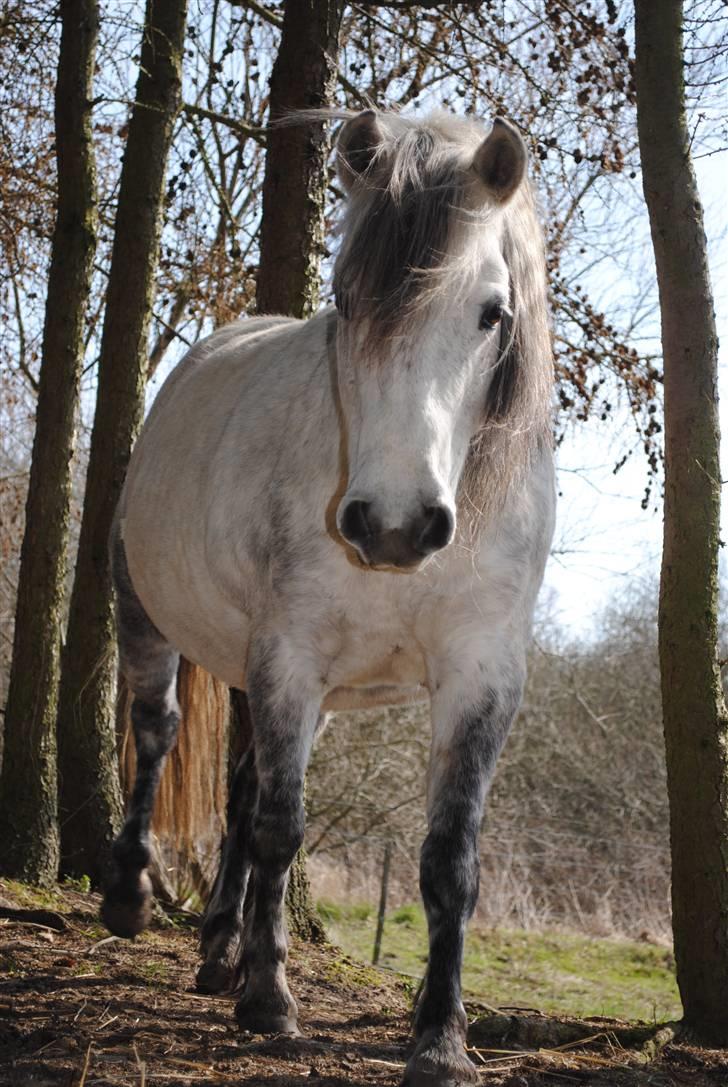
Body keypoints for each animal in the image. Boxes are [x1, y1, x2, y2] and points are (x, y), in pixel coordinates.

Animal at [102, 112, 556, 1087]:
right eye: (346, 301)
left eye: (491, 312)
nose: (393, 524)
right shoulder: (291, 654)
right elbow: (284, 826)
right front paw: (270, 999)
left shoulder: (480, 677)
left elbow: (448, 860)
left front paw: (441, 1038)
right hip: (153, 620)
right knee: (157, 733)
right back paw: (131, 896)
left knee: (241, 787)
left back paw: (218, 950)